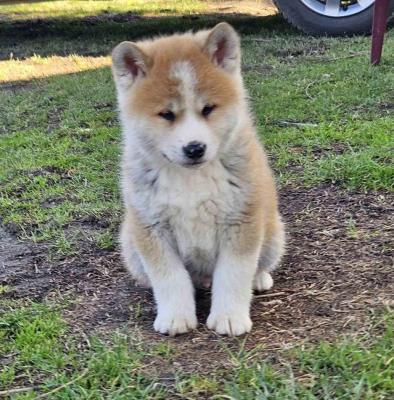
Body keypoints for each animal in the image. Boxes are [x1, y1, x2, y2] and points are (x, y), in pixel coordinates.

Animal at [112, 21, 284, 334]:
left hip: (273, 233)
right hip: (130, 243)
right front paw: (175, 316)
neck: (190, 179)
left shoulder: (241, 222)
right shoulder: (152, 227)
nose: (194, 148)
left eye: (208, 109)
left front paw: (229, 317)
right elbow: (169, 278)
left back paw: (259, 278)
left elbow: (233, 274)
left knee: (258, 265)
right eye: (166, 114)